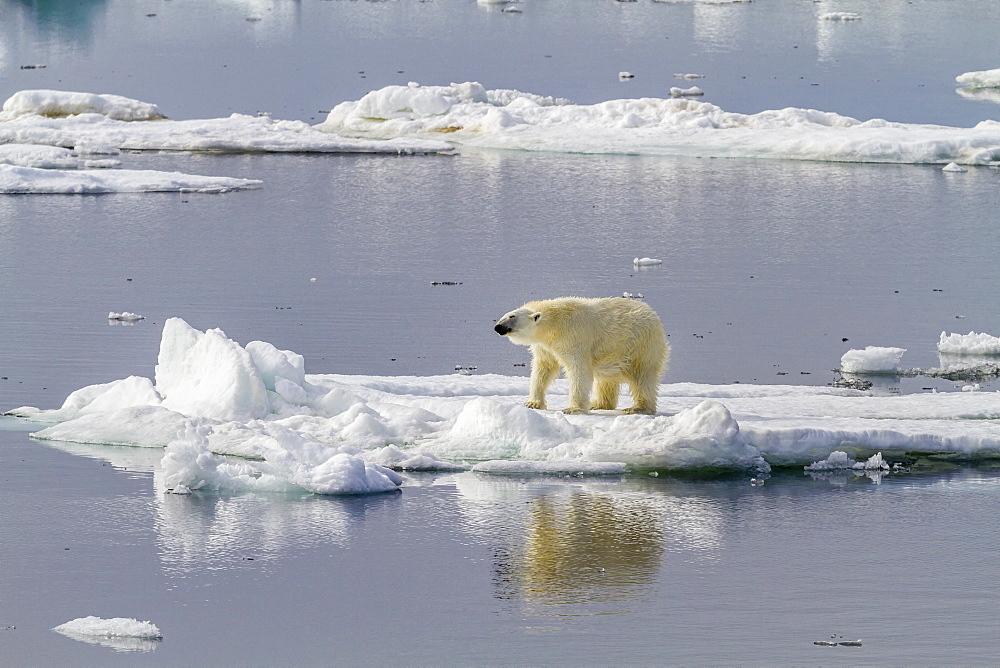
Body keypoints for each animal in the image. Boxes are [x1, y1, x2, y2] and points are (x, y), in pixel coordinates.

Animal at [494, 296, 668, 412]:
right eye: (505, 314)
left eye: (512, 316)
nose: (497, 327)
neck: (555, 323)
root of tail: (654, 315)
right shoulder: (545, 346)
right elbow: (544, 369)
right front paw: (533, 403)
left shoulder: (574, 337)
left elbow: (579, 370)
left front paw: (572, 408)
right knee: (606, 380)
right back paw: (598, 404)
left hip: (639, 346)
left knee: (642, 377)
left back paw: (638, 407)